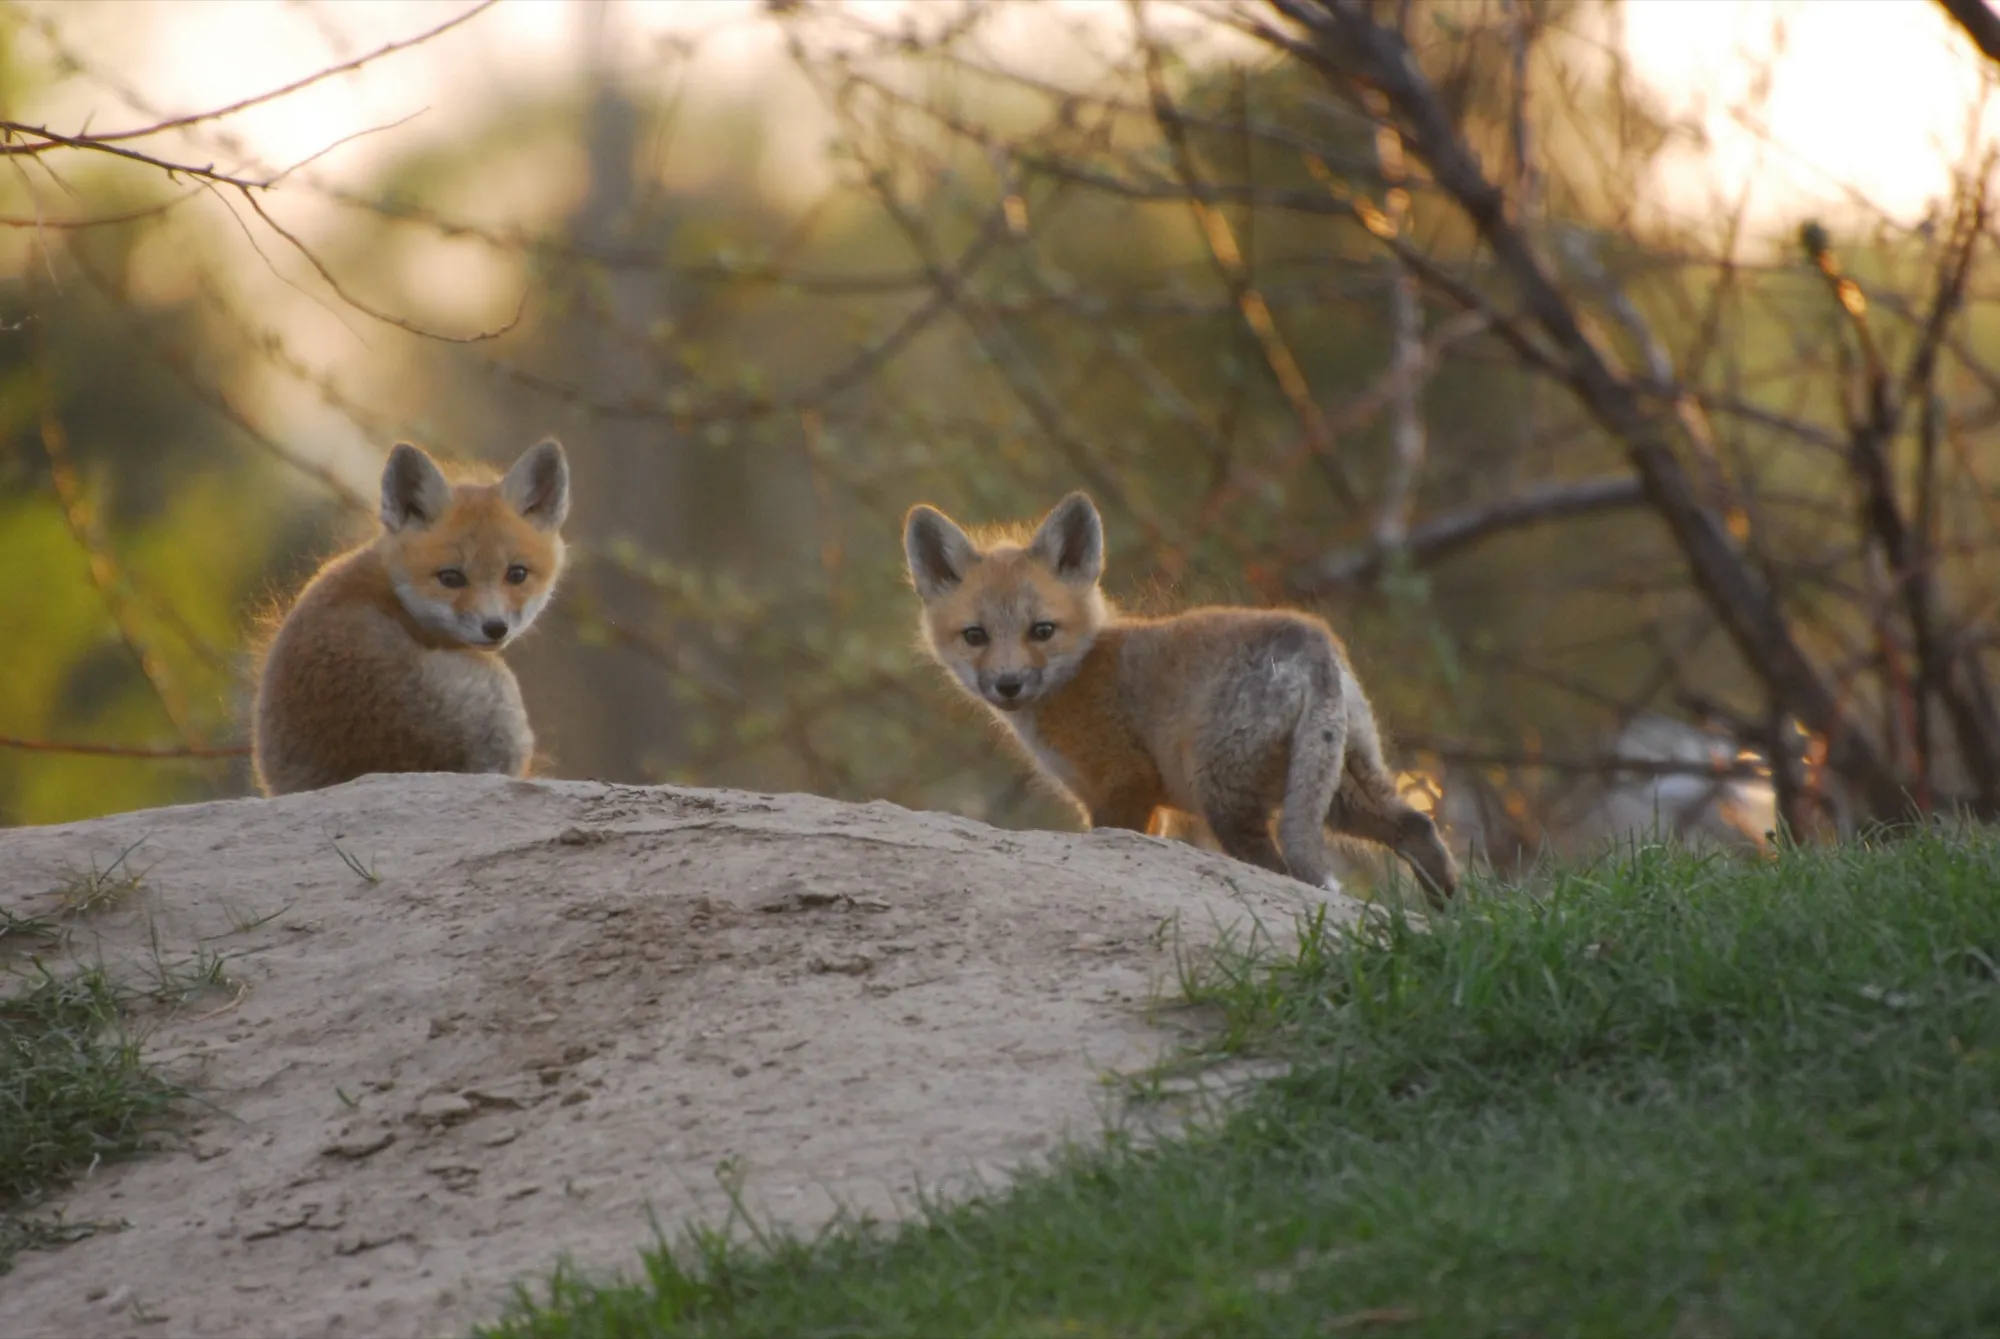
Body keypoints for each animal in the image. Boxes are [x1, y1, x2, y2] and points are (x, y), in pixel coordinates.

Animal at [902, 491, 1459, 904]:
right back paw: (1448, 913)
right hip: (1341, 787)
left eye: (1042, 630)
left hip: (1225, 799)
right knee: (1417, 827)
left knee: (1279, 867)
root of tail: (1310, 637)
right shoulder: (1146, 802)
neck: (1080, 670)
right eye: (975, 636)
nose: (1008, 684)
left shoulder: (1126, 783)